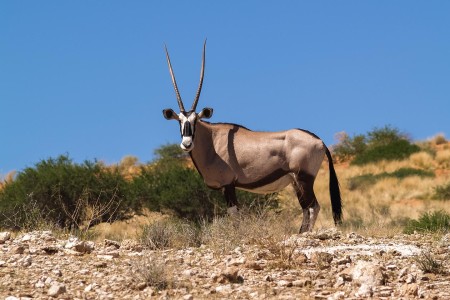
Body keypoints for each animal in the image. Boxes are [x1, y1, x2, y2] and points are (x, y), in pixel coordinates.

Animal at [162, 41, 342, 232]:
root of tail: (320, 141)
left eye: (195, 120)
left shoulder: (228, 185)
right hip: (296, 182)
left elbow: (235, 216)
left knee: (313, 206)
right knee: (306, 208)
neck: (212, 141)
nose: (187, 143)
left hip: (304, 178)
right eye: (180, 121)